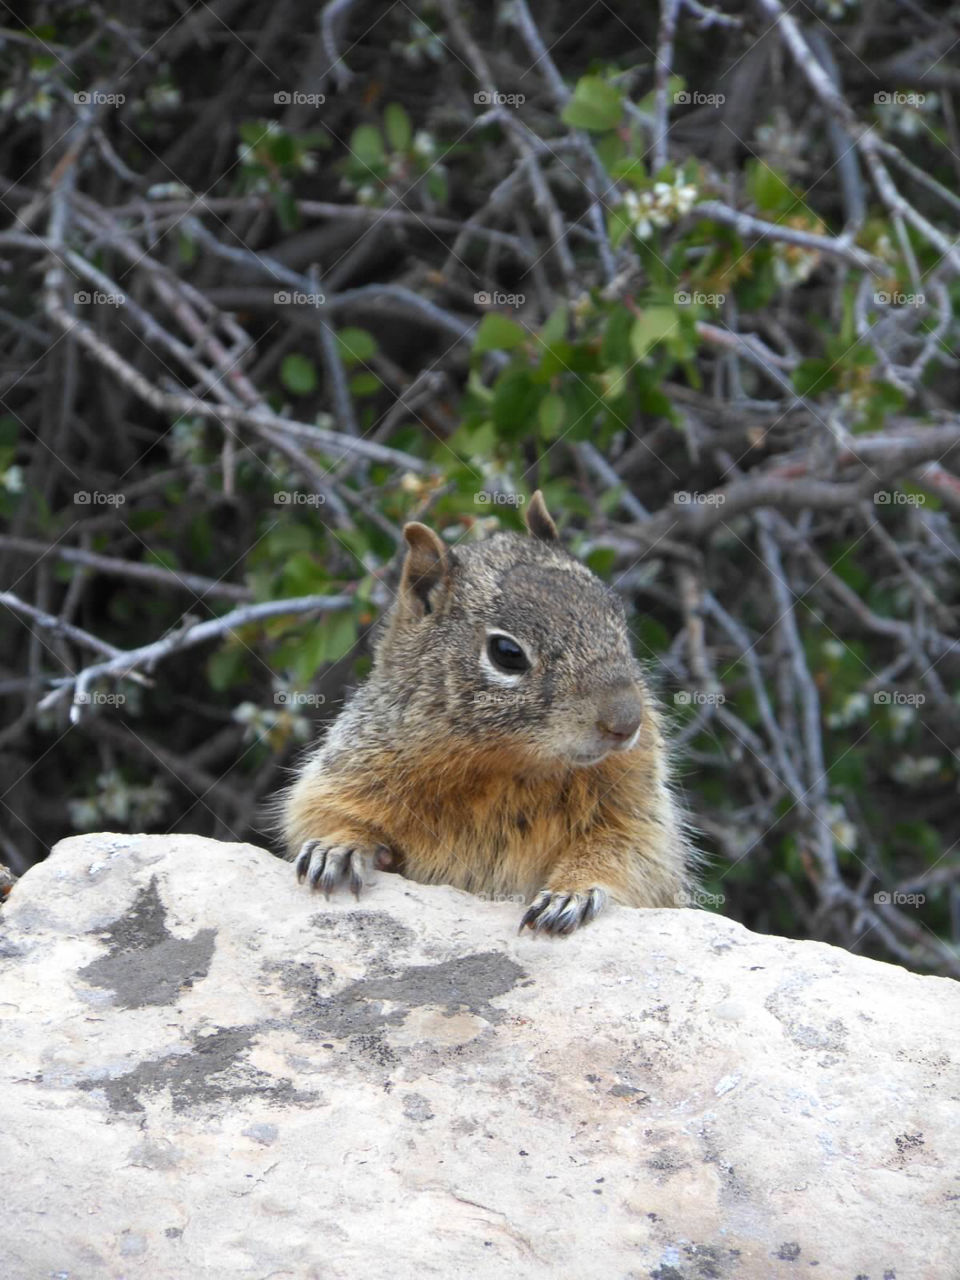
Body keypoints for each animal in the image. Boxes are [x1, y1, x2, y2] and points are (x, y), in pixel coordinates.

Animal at [277, 494, 701, 936]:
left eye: (616, 615)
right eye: (507, 653)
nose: (626, 723)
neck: (512, 768)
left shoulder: (638, 811)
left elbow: (626, 855)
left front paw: (571, 893)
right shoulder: (347, 772)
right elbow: (318, 813)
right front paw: (339, 846)